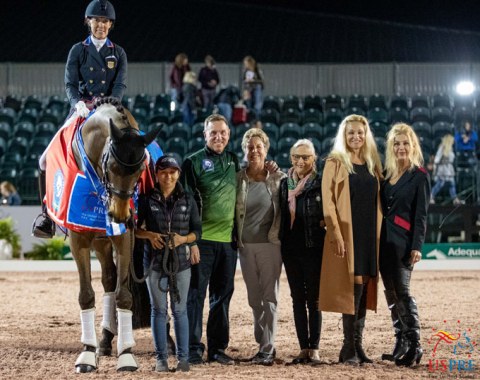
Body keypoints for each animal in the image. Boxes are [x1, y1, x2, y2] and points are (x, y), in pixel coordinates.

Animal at [58, 97, 159, 372]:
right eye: (111, 165)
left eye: (141, 170)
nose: (119, 215)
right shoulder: (79, 240)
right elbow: (85, 295)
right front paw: (87, 354)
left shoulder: (124, 238)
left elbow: (124, 296)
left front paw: (126, 355)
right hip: (100, 242)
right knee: (107, 281)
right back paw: (101, 342)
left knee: (111, 282)